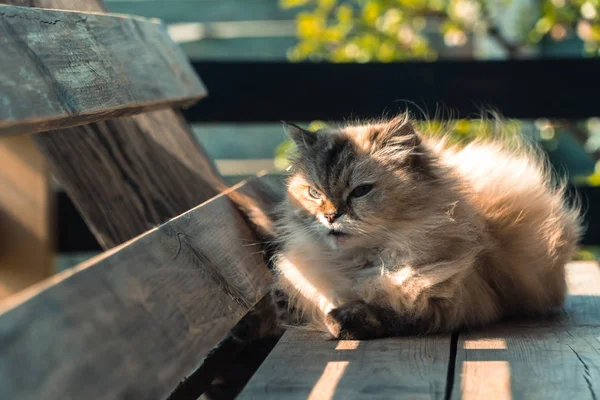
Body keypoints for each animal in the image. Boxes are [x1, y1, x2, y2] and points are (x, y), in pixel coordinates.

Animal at [270, 114, 580, 340]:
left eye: (361, 191)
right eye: (314, 193)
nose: (331, 216)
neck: (362, 263)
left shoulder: (448, 303)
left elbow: (389, 313)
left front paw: (342, 322)